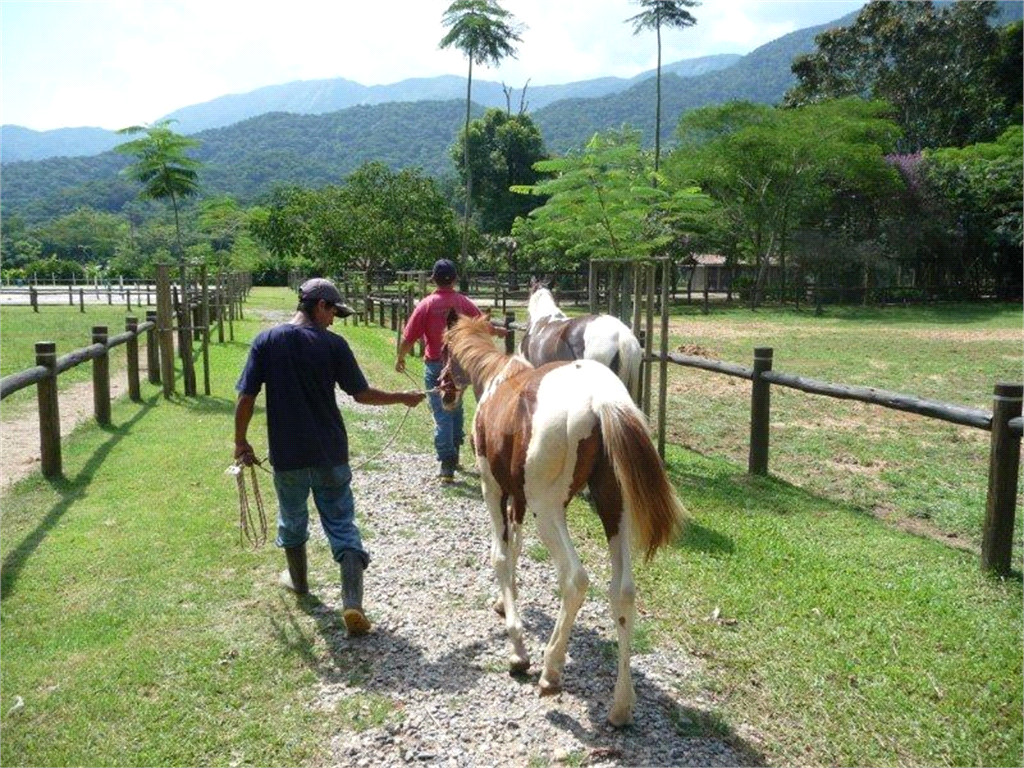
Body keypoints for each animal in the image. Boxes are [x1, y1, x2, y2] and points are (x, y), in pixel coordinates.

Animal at [436, 313, 684, 729]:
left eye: (444, 349)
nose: (443, 391)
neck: (498, 380)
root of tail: (602, 400)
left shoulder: (494, 488)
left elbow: (500, 554)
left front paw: (518, 649)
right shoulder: (518, 499)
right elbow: (515, 547)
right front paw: (504, 602)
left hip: (549, 512)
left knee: (575, 579)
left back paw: (551, 670)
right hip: (613, 510)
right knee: (623, 590)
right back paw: (621, 705)